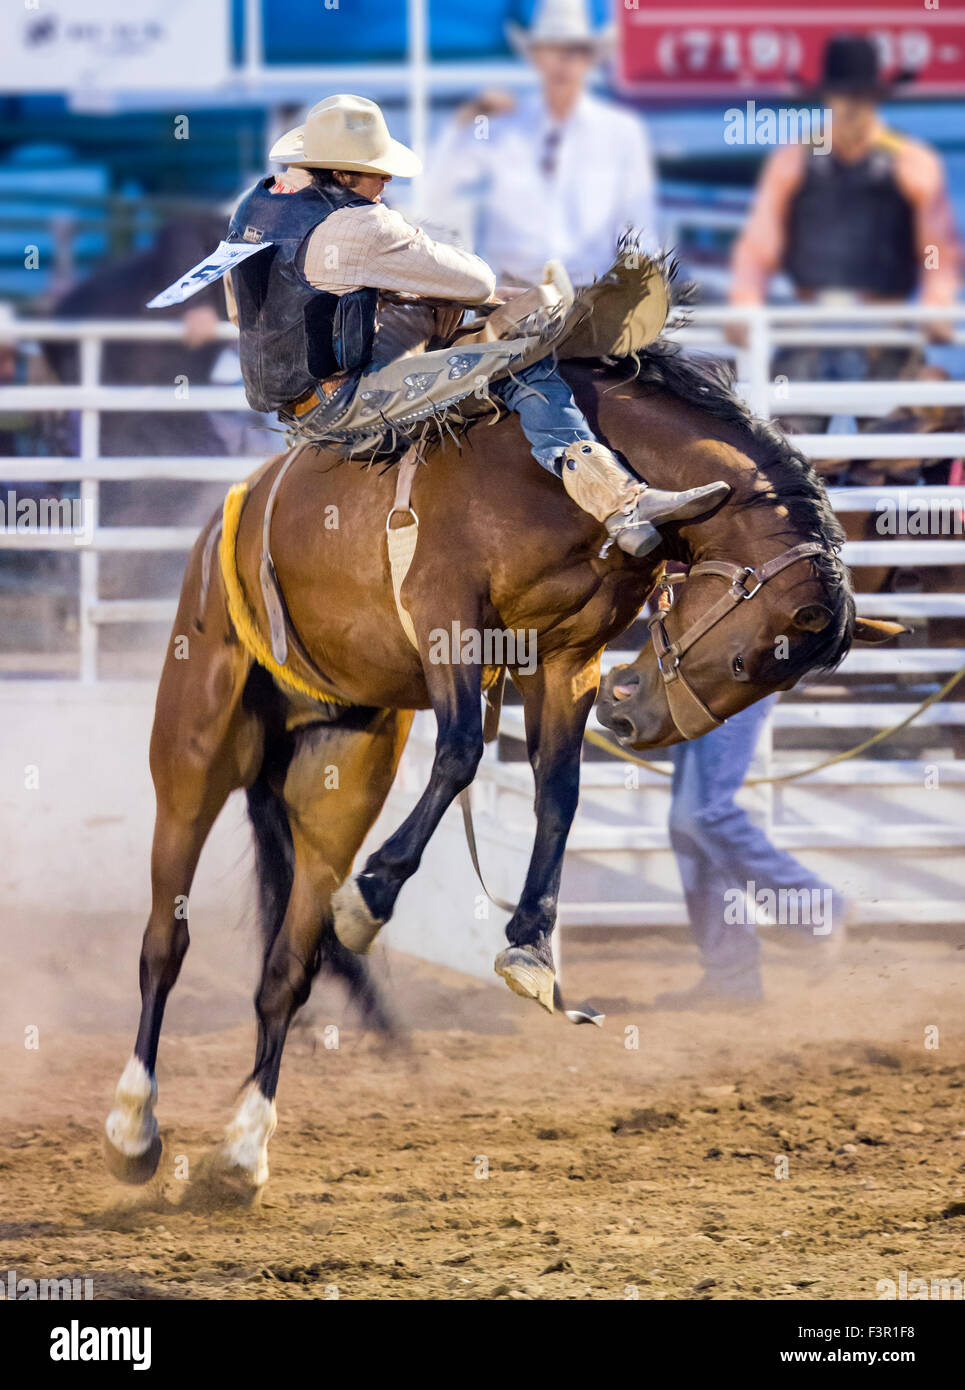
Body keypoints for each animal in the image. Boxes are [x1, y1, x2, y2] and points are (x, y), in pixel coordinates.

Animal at [104, 345, 897, 1195]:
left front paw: (530, 948)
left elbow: (559, 793)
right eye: (750, 659)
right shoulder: (448, 616)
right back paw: (133, 1124)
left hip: (338, 775)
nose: (635, 719)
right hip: (193, 751)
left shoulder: (568, 658)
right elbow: (459, 754)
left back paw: (245, 1146)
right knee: (163, 943)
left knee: (287, 965)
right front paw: (375, 894)